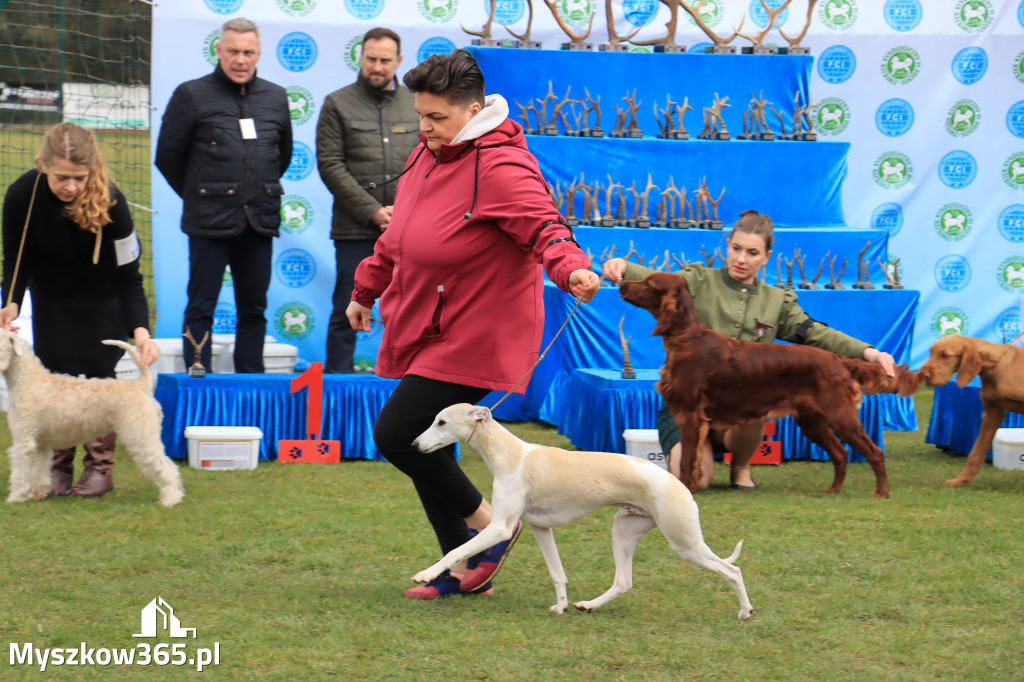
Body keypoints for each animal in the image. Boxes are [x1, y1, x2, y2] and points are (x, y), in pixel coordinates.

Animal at [407, 401, 753, 618]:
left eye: (441, 421)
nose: (413, 445)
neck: (510, 454)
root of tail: (679, 484)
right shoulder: (539, 527)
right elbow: (557, 573)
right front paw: (561, 606)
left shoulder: (500, 527)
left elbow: (456, 550)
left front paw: (426, 574)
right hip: (624, 530)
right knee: (623, 582)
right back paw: (588, 605)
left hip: (684, 541)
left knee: (732, 570)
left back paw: (745, 611)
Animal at [618, 268, 925, 497]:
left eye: (647, 283)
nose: (620, 283)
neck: (687, 340)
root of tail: (839, 360)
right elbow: (690, 461)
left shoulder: (692, 415)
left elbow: (686, 462)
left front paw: (686, 489)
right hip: (813, 421)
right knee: (840, 453)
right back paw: (834, 490)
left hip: (840, 416)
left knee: (874, 451)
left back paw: (881, 493)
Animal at [921, 333, 1024, 483]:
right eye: (931, 352)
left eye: (945, 355)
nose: (923, 374)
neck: (995, 366)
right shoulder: (992, 414)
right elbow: (976, 452)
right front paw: (960, 480)